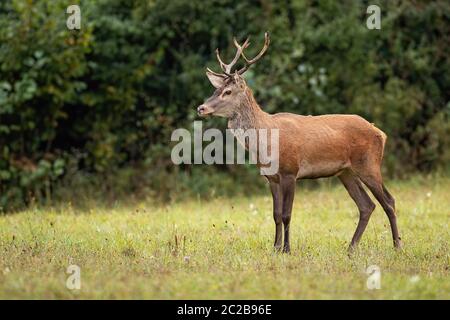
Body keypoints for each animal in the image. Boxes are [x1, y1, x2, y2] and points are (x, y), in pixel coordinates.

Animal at [197, 31, 400, 252]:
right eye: (215, 91)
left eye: (227, 92)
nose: (201, 108)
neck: (266, 141)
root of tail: (380, 133)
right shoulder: (271, 177)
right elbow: (276, 215)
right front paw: (275, 248)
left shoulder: (290, 171)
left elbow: (287, 214)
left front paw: (286, 249)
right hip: (346, 172)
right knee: (366, 205)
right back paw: (351, 248)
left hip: (369, 164)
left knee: (388, 201)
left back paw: (397, 245)